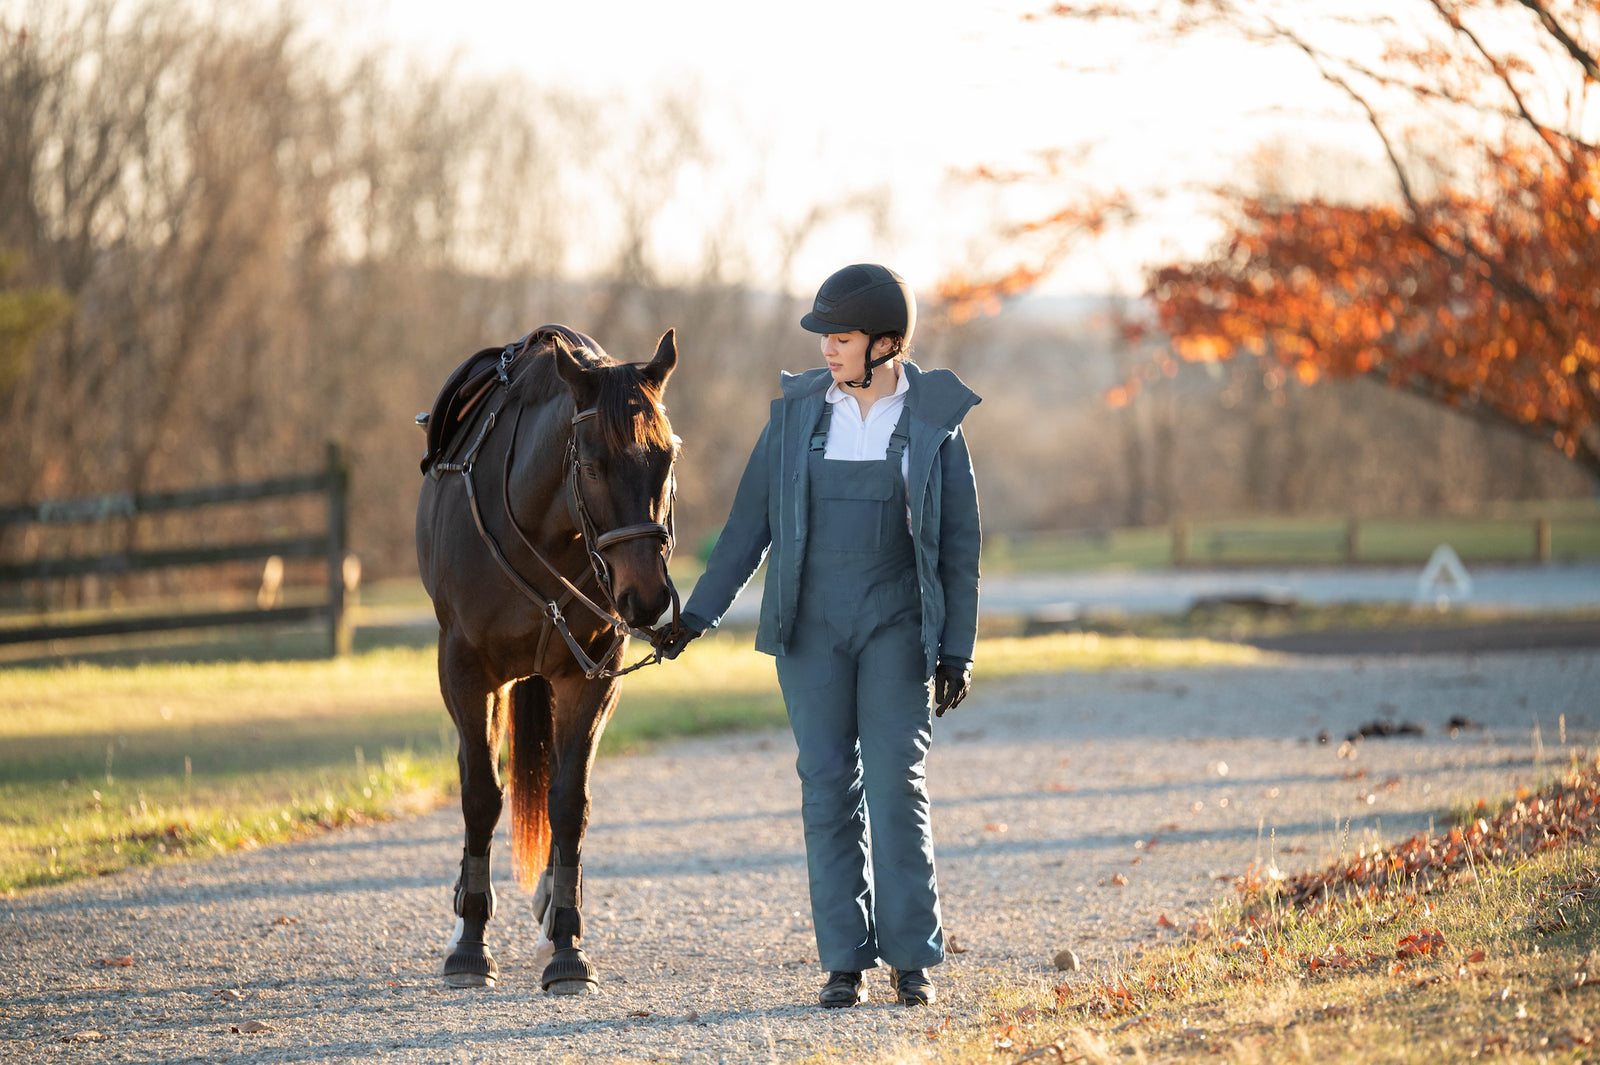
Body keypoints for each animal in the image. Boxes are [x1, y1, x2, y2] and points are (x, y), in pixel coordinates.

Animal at [412, 321, 681, 985]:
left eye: (666, 457)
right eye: (591, 463)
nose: (647, 596)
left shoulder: (593, 675)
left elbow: (568, 802)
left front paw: (566, 942)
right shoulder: (464, 669)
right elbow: (480, 793)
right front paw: (469, 941)